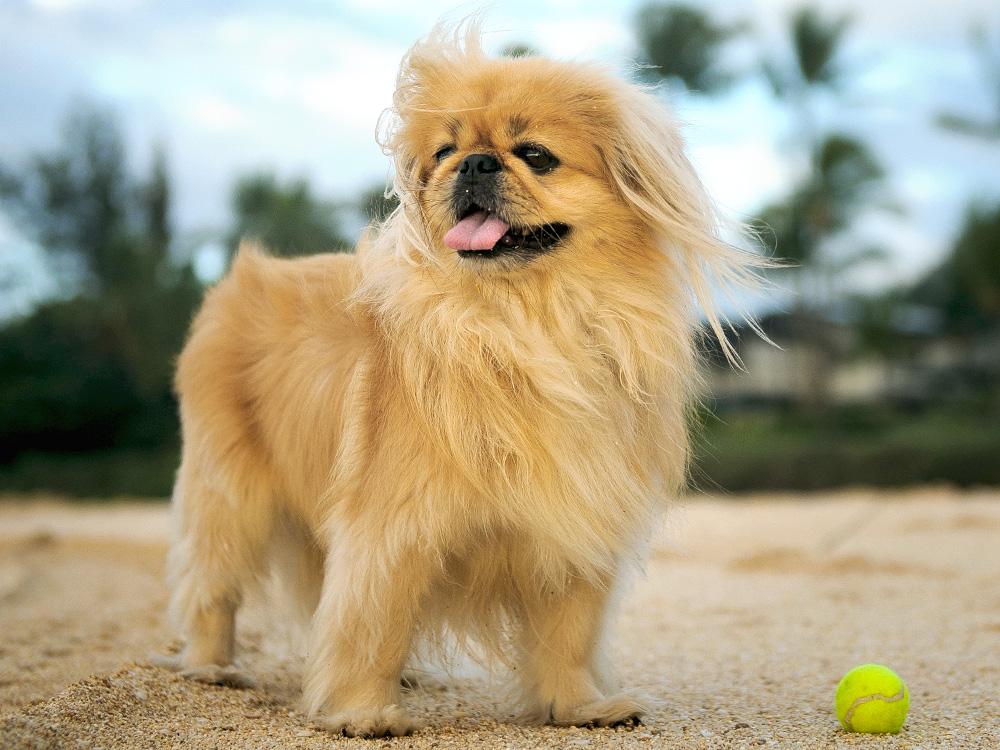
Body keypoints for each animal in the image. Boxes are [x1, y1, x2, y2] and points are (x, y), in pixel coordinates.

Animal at [166, 22, 756, 740]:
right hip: (229, 497)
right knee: (212, 588)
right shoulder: (391, 532)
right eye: (445, 152)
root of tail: (235, 285)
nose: (474, 163)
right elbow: (372, 623)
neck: (524, 327)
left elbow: (568, 635)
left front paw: (579, 708)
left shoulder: (577, 527)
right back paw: (213, 668)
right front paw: (363, 713)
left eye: (535, 155)